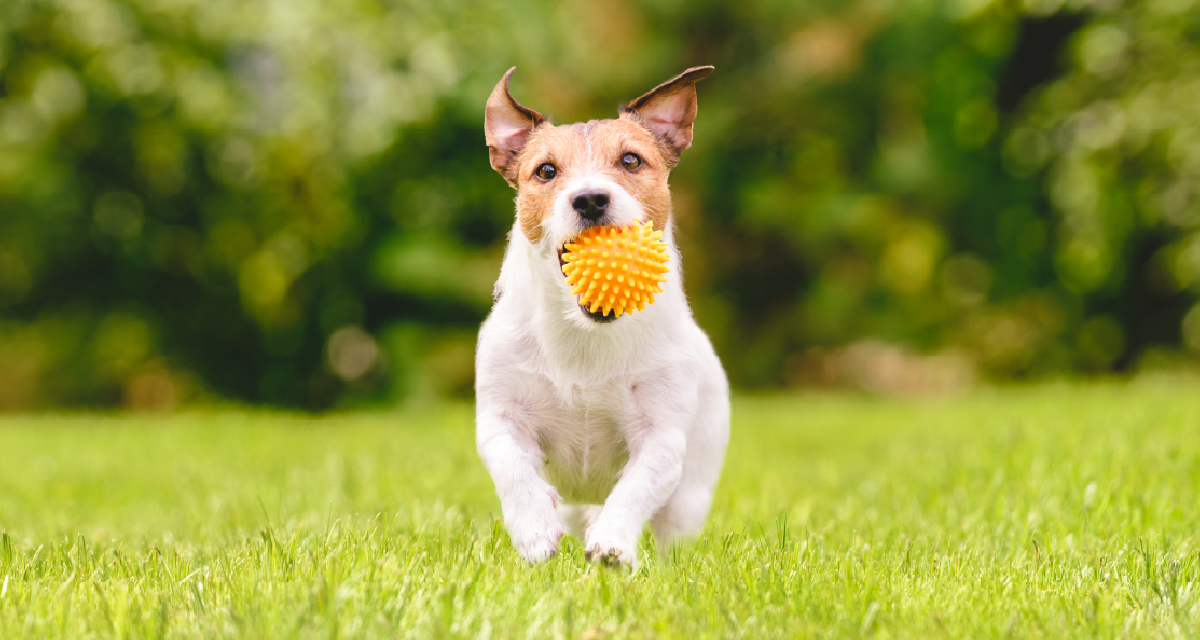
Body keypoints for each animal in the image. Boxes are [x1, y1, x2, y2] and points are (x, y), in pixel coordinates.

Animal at [477, 66, 729, 569]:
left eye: (631, 160)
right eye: (546, 171)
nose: (591, 199)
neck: (585, 336)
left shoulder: (661, 435)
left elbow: (636, 486)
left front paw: (613, 543)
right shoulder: (500, 416)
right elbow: (512, 468)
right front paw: (534, 530)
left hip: (691, 492)